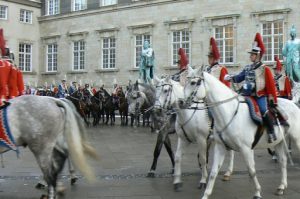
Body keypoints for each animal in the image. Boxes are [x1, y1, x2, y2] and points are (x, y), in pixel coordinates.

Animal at [184, 69, 300, 198]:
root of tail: (293, 104)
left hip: (297, 139)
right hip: (278, 142)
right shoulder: (220, 147)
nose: (181, 102)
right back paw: (281, 186)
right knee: (283, 162)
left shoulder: (246, 149)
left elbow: (251, 170)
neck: (229, 112)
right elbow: (214, 172)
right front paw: (206, 194)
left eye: (193, 82)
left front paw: (257, 192)